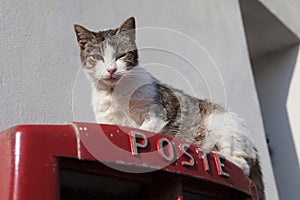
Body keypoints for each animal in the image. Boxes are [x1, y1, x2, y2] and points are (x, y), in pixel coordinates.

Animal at [74, 16, 264, 198]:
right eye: (97, 57)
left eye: (121, 55)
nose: (111, 70)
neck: (116, 94)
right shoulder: (107, 121)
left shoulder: (158, 111)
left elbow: (144, 128)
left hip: (219, 123)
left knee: (242, 164)